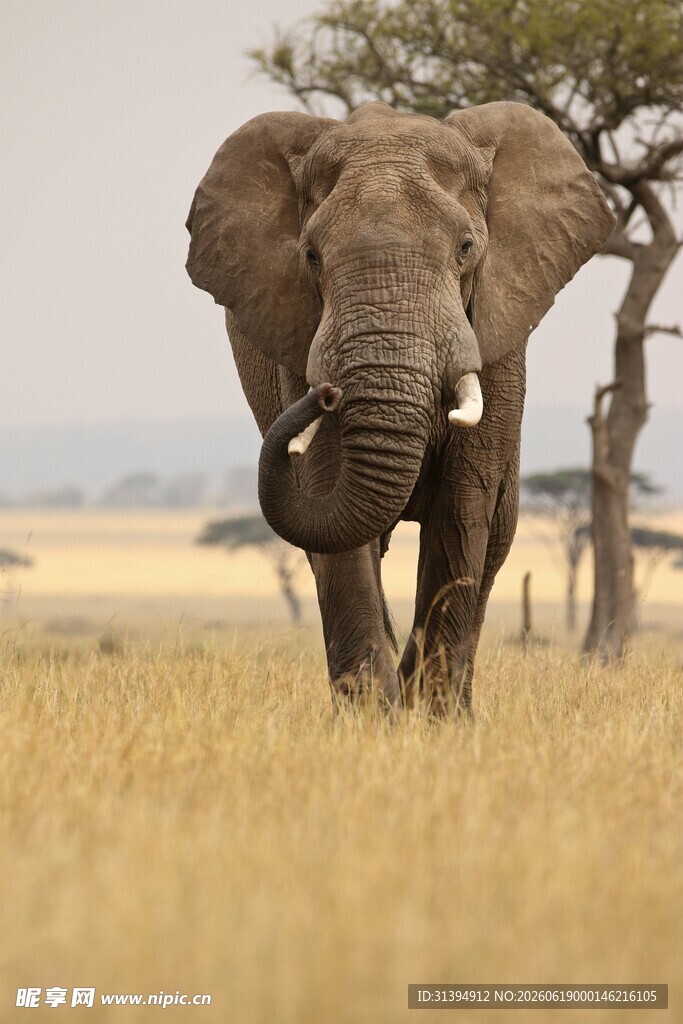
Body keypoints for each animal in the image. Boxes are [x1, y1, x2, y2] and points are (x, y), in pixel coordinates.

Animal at [186, 101, 614, 714]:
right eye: (310, 256)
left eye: (466, 247)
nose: (327, 394)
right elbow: (329, 501)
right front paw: (372, 719)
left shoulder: (496, 343)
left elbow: (464, 505)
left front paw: (431, 719)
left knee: (494, 542)